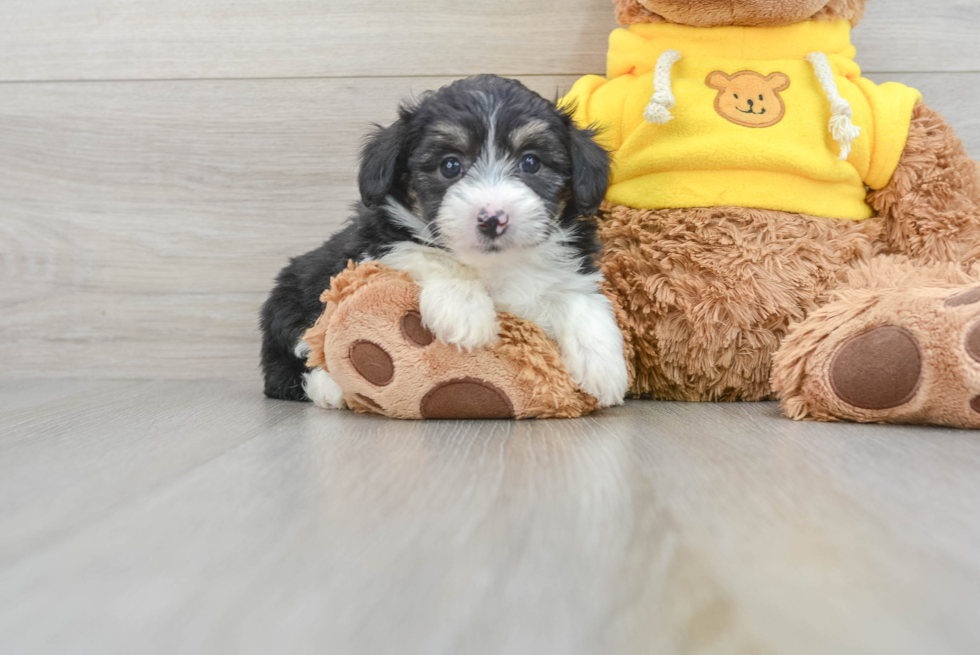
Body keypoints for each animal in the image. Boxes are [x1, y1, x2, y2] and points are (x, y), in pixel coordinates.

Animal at [260, 75, 628, 410]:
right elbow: (429, 254)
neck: (494, 265)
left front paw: (604, 367)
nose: (492, 219)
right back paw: (330, 388)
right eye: (450, 165)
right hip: (294, 299)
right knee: (298, 356)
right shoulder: (379, 243)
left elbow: (578, 298)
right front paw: (465, 309)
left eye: (531, 162)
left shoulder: (571, 263)